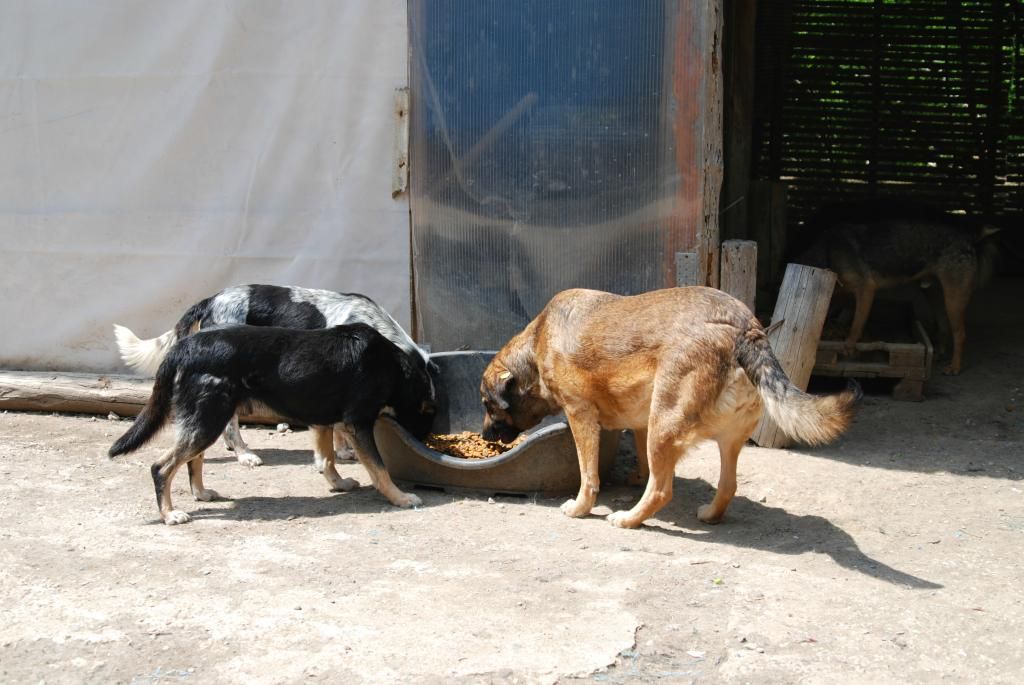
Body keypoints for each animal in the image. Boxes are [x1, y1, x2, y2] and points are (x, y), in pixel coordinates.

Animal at [108, 323, 436, 528]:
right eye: (427, 410)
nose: (425, 440)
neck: (391, 364)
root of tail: (183, 347)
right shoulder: (358, 423)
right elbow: (379, 469)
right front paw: (400, 498)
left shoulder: (323, 421)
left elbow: (327, 458)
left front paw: (338, 483)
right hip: (209, 419)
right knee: (162, 467)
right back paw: (169, 514)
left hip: (206, 419)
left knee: (192, 459)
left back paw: (200, 493)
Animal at [112, 282, 432, 471]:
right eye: (423, 405)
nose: (424, 438)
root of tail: (211, 299)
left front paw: (342, 451)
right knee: (231, 424)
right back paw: (244, 453)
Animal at [479, 286, 856, 528]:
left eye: (488, 404)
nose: (483, 436)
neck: (538, 340)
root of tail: (746, 328)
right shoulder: (640, 422)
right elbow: (644, 465)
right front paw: (637, 477)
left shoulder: (581, 416)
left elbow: (589, 475)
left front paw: (581, 508)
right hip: (722, 439)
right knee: (727, 486)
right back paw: (709, 515)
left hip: (664, 427)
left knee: (662, 491)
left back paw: (629, 519)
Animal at [790, 198, 999, 374]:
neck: (827, 251)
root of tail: (968, 236)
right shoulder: (841, 294)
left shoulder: (866, 289)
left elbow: (856, 323)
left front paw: (849, 346)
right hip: (936, 294)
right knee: (943, 324)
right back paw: (940, 352)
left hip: (955, 297)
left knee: (960, 334)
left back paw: (955, 367)